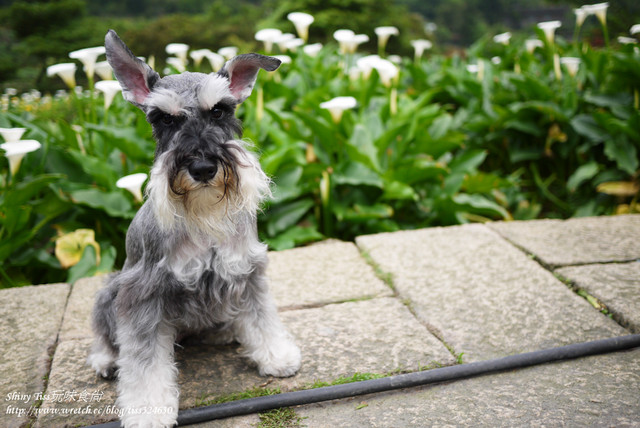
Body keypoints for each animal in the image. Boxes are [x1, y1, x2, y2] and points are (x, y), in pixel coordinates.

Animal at [86, 29, 302, 424]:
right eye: (163, 119)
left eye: (219, 110)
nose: (202, 167)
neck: (203, 216)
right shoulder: (142, 294)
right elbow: (143, 360)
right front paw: (147, 410)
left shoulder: (248, 271)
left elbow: (262, 317)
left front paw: (277, 355)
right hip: (109, 291)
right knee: (107, 335)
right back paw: (106, 360)